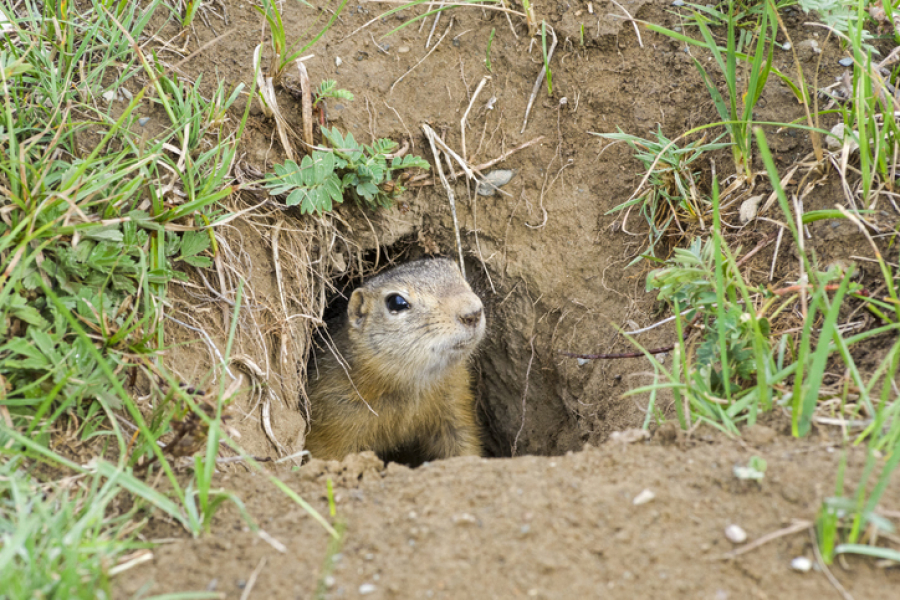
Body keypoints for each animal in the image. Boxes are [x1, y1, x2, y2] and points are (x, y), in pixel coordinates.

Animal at [302, 258, 486, 464]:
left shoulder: (455, 404)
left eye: (458, 272)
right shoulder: (332, 422)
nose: (473, 313)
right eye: (396, 302)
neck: (412, 385)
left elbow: (463, 442)